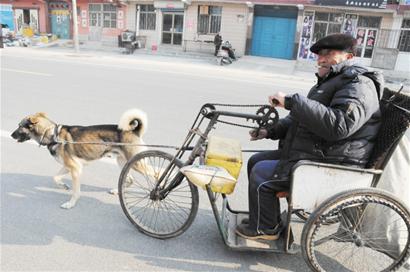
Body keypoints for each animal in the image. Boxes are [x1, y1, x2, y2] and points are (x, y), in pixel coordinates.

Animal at [10, 109, 149, 209]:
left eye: (19, 126)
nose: (11, 135)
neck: (52, 135)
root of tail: (134, 131)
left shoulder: (75, 169)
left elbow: (76, 192)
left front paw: (70, 204)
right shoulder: (69, 166)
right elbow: (55, 177)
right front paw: (63, 186)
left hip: (137, 164)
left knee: (153, 174)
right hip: (122, 162)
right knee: (130, 179)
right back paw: (117, 191)